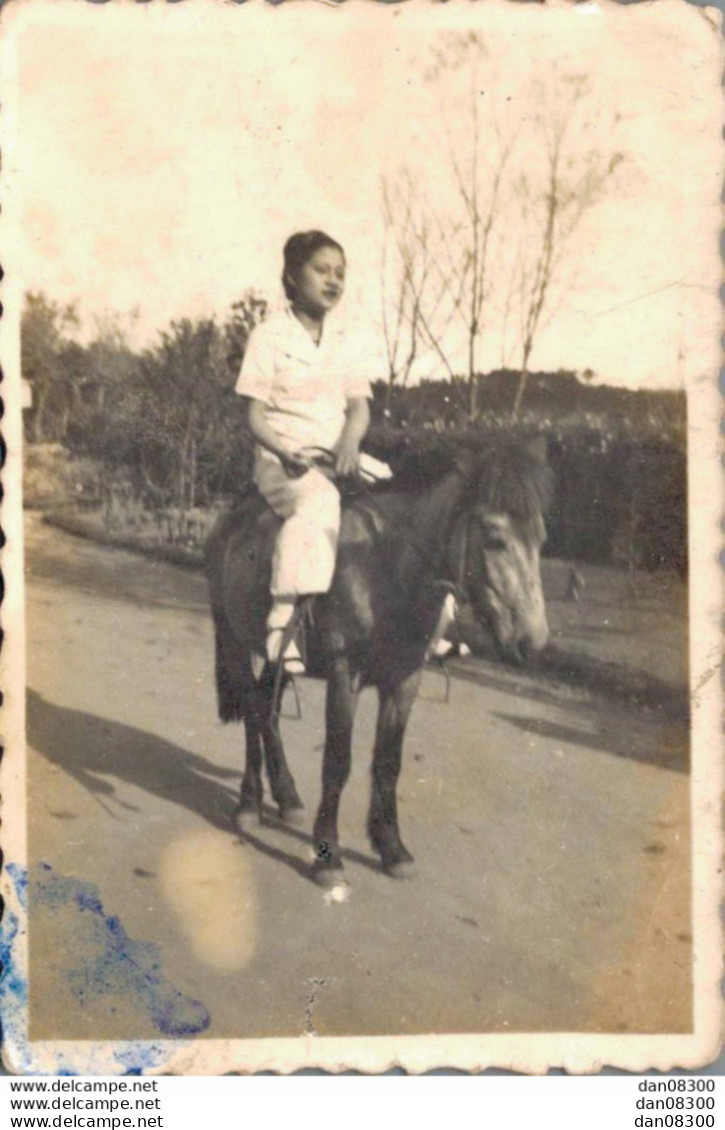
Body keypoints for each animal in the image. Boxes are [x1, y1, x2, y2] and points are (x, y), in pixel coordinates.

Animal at [205, 442, 551, 890]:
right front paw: (328, 856)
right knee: (252, 712)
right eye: (495, 538)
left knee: (267, 710)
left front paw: (392, 848)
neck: (386, 568)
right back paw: (249, 804)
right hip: (234, 640)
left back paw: (287, 797)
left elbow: (388, 763)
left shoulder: (404, 681)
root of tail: (228, 521)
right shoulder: (344, 676)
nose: (534, 641)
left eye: (540, 538)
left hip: (279, 656)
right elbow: (338, 762)